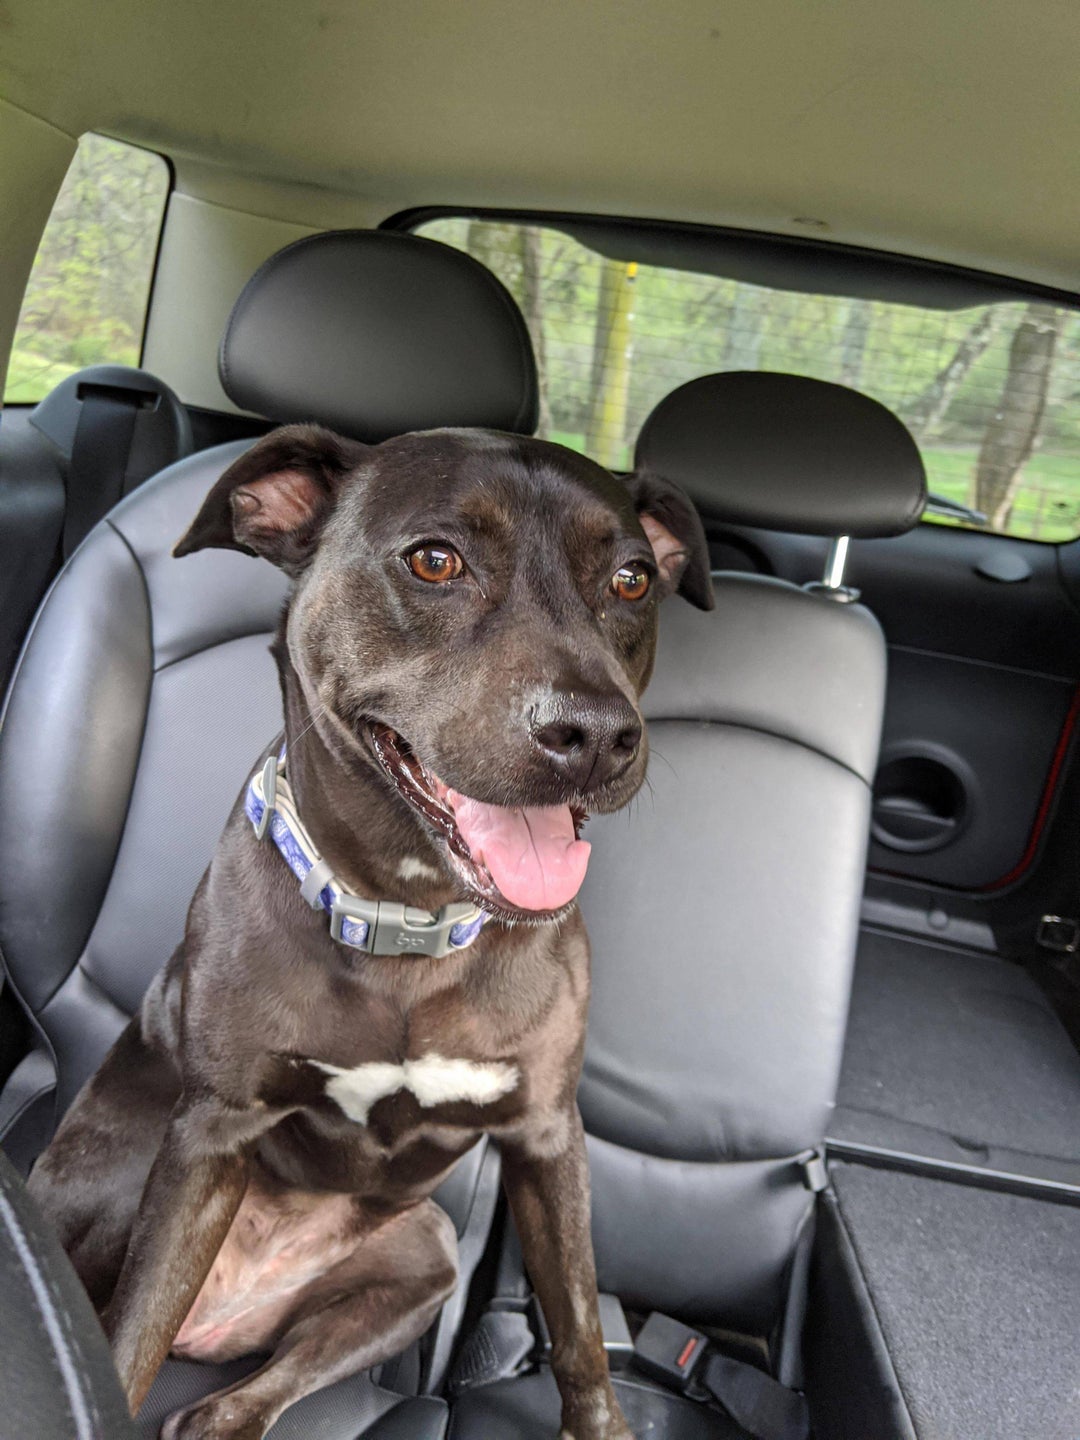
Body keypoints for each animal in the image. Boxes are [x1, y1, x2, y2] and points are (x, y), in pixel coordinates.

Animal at [29, 426, 714, 1440]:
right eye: (435, 560)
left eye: (631, 579)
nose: (594, 735)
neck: (407, 916)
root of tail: (229, 1310)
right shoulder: (208, 1138)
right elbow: (126, 1343)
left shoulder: (547, 1138)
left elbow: (583, 1335)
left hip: (421, 1259)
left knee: (227, 1406)